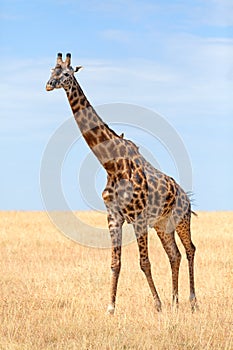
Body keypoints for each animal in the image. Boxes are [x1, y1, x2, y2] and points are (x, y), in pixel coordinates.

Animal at [46, 52, 198, 314]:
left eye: (66, 74)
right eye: (50, 70)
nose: (48, 84)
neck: (112, 165)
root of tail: (185, 196)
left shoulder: (138, 217)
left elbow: (144, 262)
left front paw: (157, 304)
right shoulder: (114, 217)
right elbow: (115, 263)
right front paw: (111, 307)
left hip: (181, 218)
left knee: (190, 250)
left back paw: (192, 301)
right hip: (162, 225)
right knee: (174, 255)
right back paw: (175, 302)